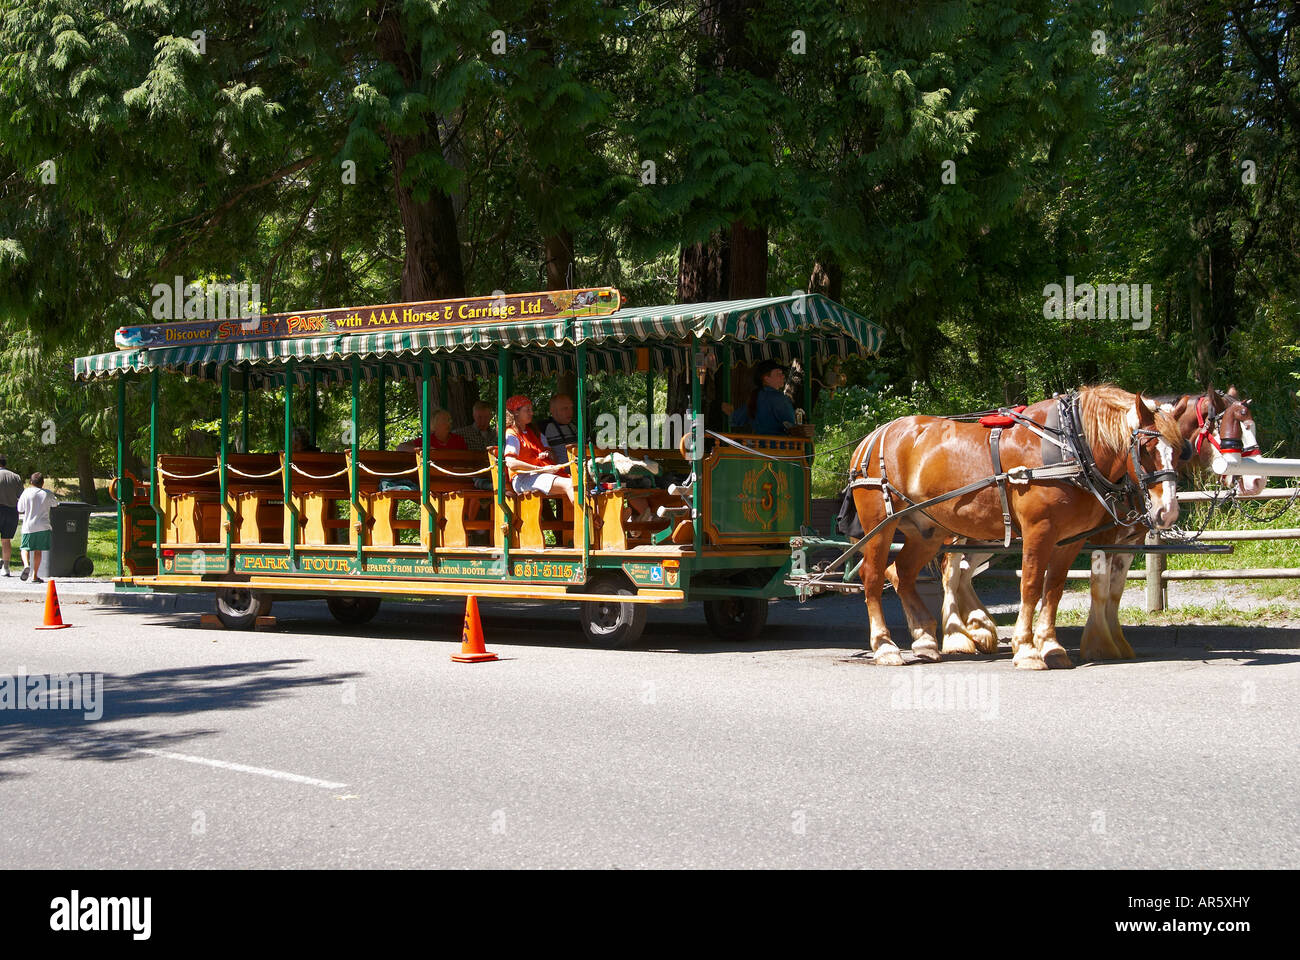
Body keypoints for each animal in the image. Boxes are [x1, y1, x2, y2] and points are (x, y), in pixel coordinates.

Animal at [847, 385, 1185, 671]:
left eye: (1179, 449)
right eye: (1145, 447)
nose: (1167, 511)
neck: (1069, 446)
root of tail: (871, 438)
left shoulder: (1070, 540)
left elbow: (1054, 589)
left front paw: (1051, 647)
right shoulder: (1039, 531)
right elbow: (1031, 586)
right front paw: (1026, 649)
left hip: (928, 531)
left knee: (901, 573)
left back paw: (926, 640)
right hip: (880, 527)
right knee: (873, 577)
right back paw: (885, 646)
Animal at [946, 385, 1268, 660]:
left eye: (1178, 448)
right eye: (1232, 431)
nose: (1257, 481)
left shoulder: (1128, 540)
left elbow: (1115, 590)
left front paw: (1116, 641)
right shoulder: (1104, 536)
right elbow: (1099, 587)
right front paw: (1099, 644)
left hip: (988, 535)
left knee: (963, 572)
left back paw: (979, 629)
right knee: (951, 571)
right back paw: (958, 637)